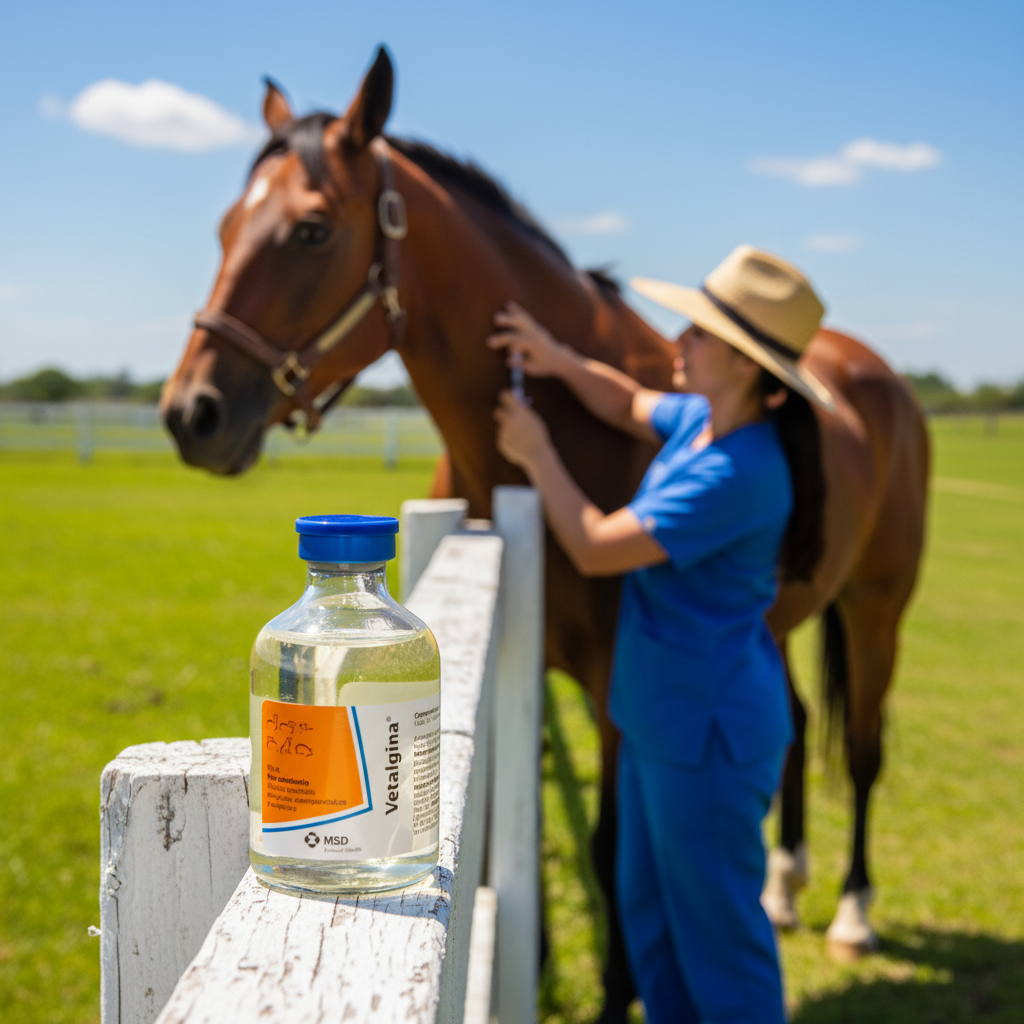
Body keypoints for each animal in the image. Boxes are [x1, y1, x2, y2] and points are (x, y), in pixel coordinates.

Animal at [160, 47, 929, 1016]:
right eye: (227, 226)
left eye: (310, 230)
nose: (191, 412)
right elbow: (506, 820)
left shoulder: (613, 690)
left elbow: (614, 848)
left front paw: (614, 997)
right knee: (789, 723)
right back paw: (783, 890)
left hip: (876, 609)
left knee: (862, 752)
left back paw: (853, 913)